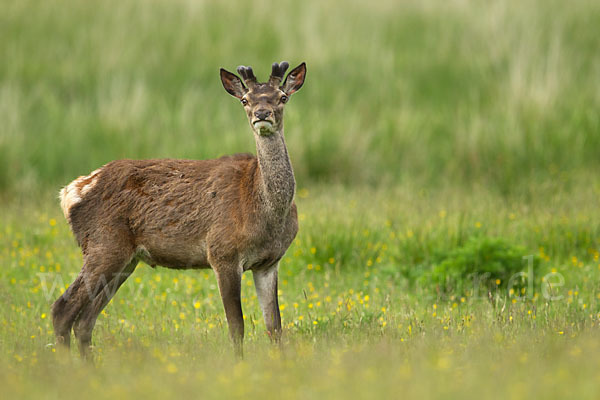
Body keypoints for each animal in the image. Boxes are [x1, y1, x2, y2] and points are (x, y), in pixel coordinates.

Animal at [50, 61, 304, 358]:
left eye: (282, 97)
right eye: (245, 100)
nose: (262, 114)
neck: (265, 215)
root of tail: (70, 192)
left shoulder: (269, 262)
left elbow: (274, 326)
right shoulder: (222, 253)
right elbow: (236, 327)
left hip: (125, 260)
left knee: (85, 320)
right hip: (104, 245)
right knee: (63, 308)